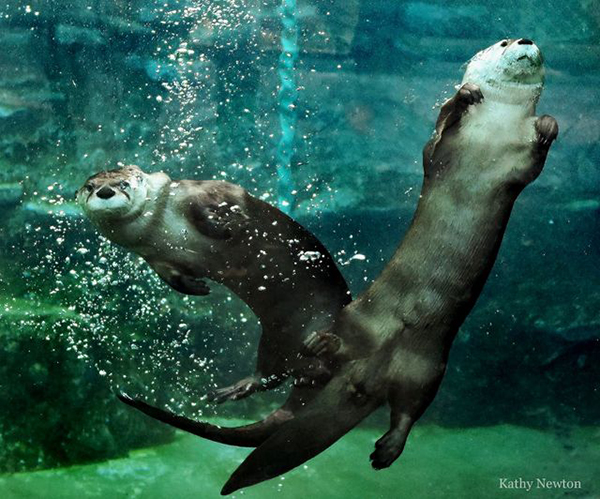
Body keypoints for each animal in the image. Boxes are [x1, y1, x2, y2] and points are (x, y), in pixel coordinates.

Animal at [77, 168, 350, 406]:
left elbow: (212, 210)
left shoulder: (198, 193)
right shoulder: (154, 256)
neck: (158, 225)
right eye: (90, 186)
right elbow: (172, 277)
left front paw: (228, 225)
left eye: (124, 184)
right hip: (273, 339)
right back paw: (241, 386)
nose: (104, 192)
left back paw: (322, 343)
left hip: (328, 311)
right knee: (270, 374)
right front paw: (197, 287)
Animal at [214, 37, 556, 494]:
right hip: (357, 320)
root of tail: (369, 373)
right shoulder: (440, 151)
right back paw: (314, 348)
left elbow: (536, 157)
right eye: (503, 41)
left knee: (408, 410)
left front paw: (550, 124)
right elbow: (438, 131)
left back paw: (387, 449)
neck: (496, 127)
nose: (525, 40)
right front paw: (465, 95)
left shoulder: (519, 164)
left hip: (430, 368)